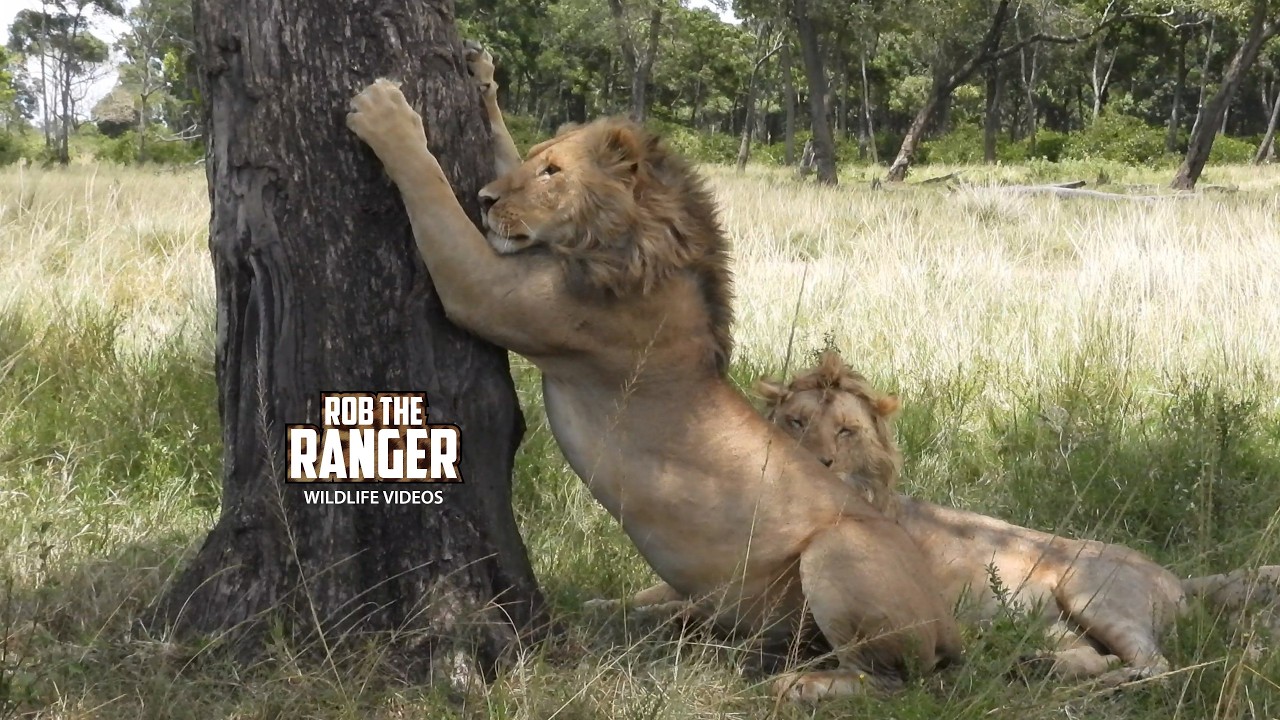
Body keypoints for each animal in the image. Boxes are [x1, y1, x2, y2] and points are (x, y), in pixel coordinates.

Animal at [346, 44, 962, 701]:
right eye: (537, 161)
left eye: (553, 173)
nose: (485, 200)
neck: (625, 241)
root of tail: (953, 627)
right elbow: (498, 144)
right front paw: (485, 78)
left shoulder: (488, 293)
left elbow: (431, 189)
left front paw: (387, 117)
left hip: (842, 551)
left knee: (893, 680)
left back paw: (795, 684)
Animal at [757, 350, 1280, 683]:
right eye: (796, 422)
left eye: (845, 431)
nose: (816, 462)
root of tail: (1175, 576)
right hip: (1053, 621)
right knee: (1098, 656)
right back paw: (1038, 667)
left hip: (1092, 591)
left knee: (1156, 666)